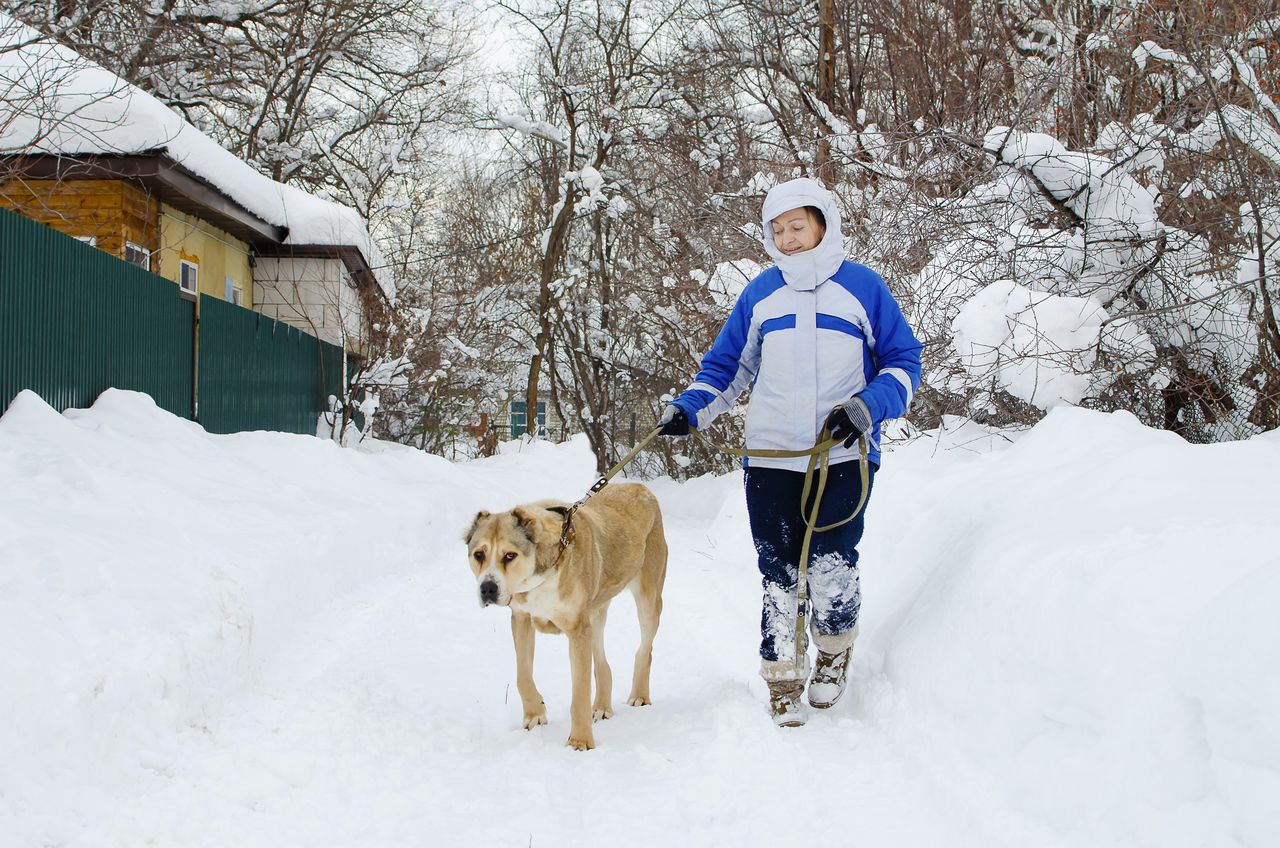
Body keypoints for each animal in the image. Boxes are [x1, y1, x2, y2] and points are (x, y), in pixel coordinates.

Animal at [471, 484, 670, 753]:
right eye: (478, 555)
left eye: (510, 555)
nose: (488, 589)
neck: (543, 573)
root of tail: (640, 487)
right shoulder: (522, 618)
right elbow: (523, 675)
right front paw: (535, 713)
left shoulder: (577, 629)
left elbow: (579, 693)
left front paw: (580, 741)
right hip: (595, 613)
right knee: (602, 662)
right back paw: (602, 706)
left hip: (648, 598)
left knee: (644, 649)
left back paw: (639, 695)